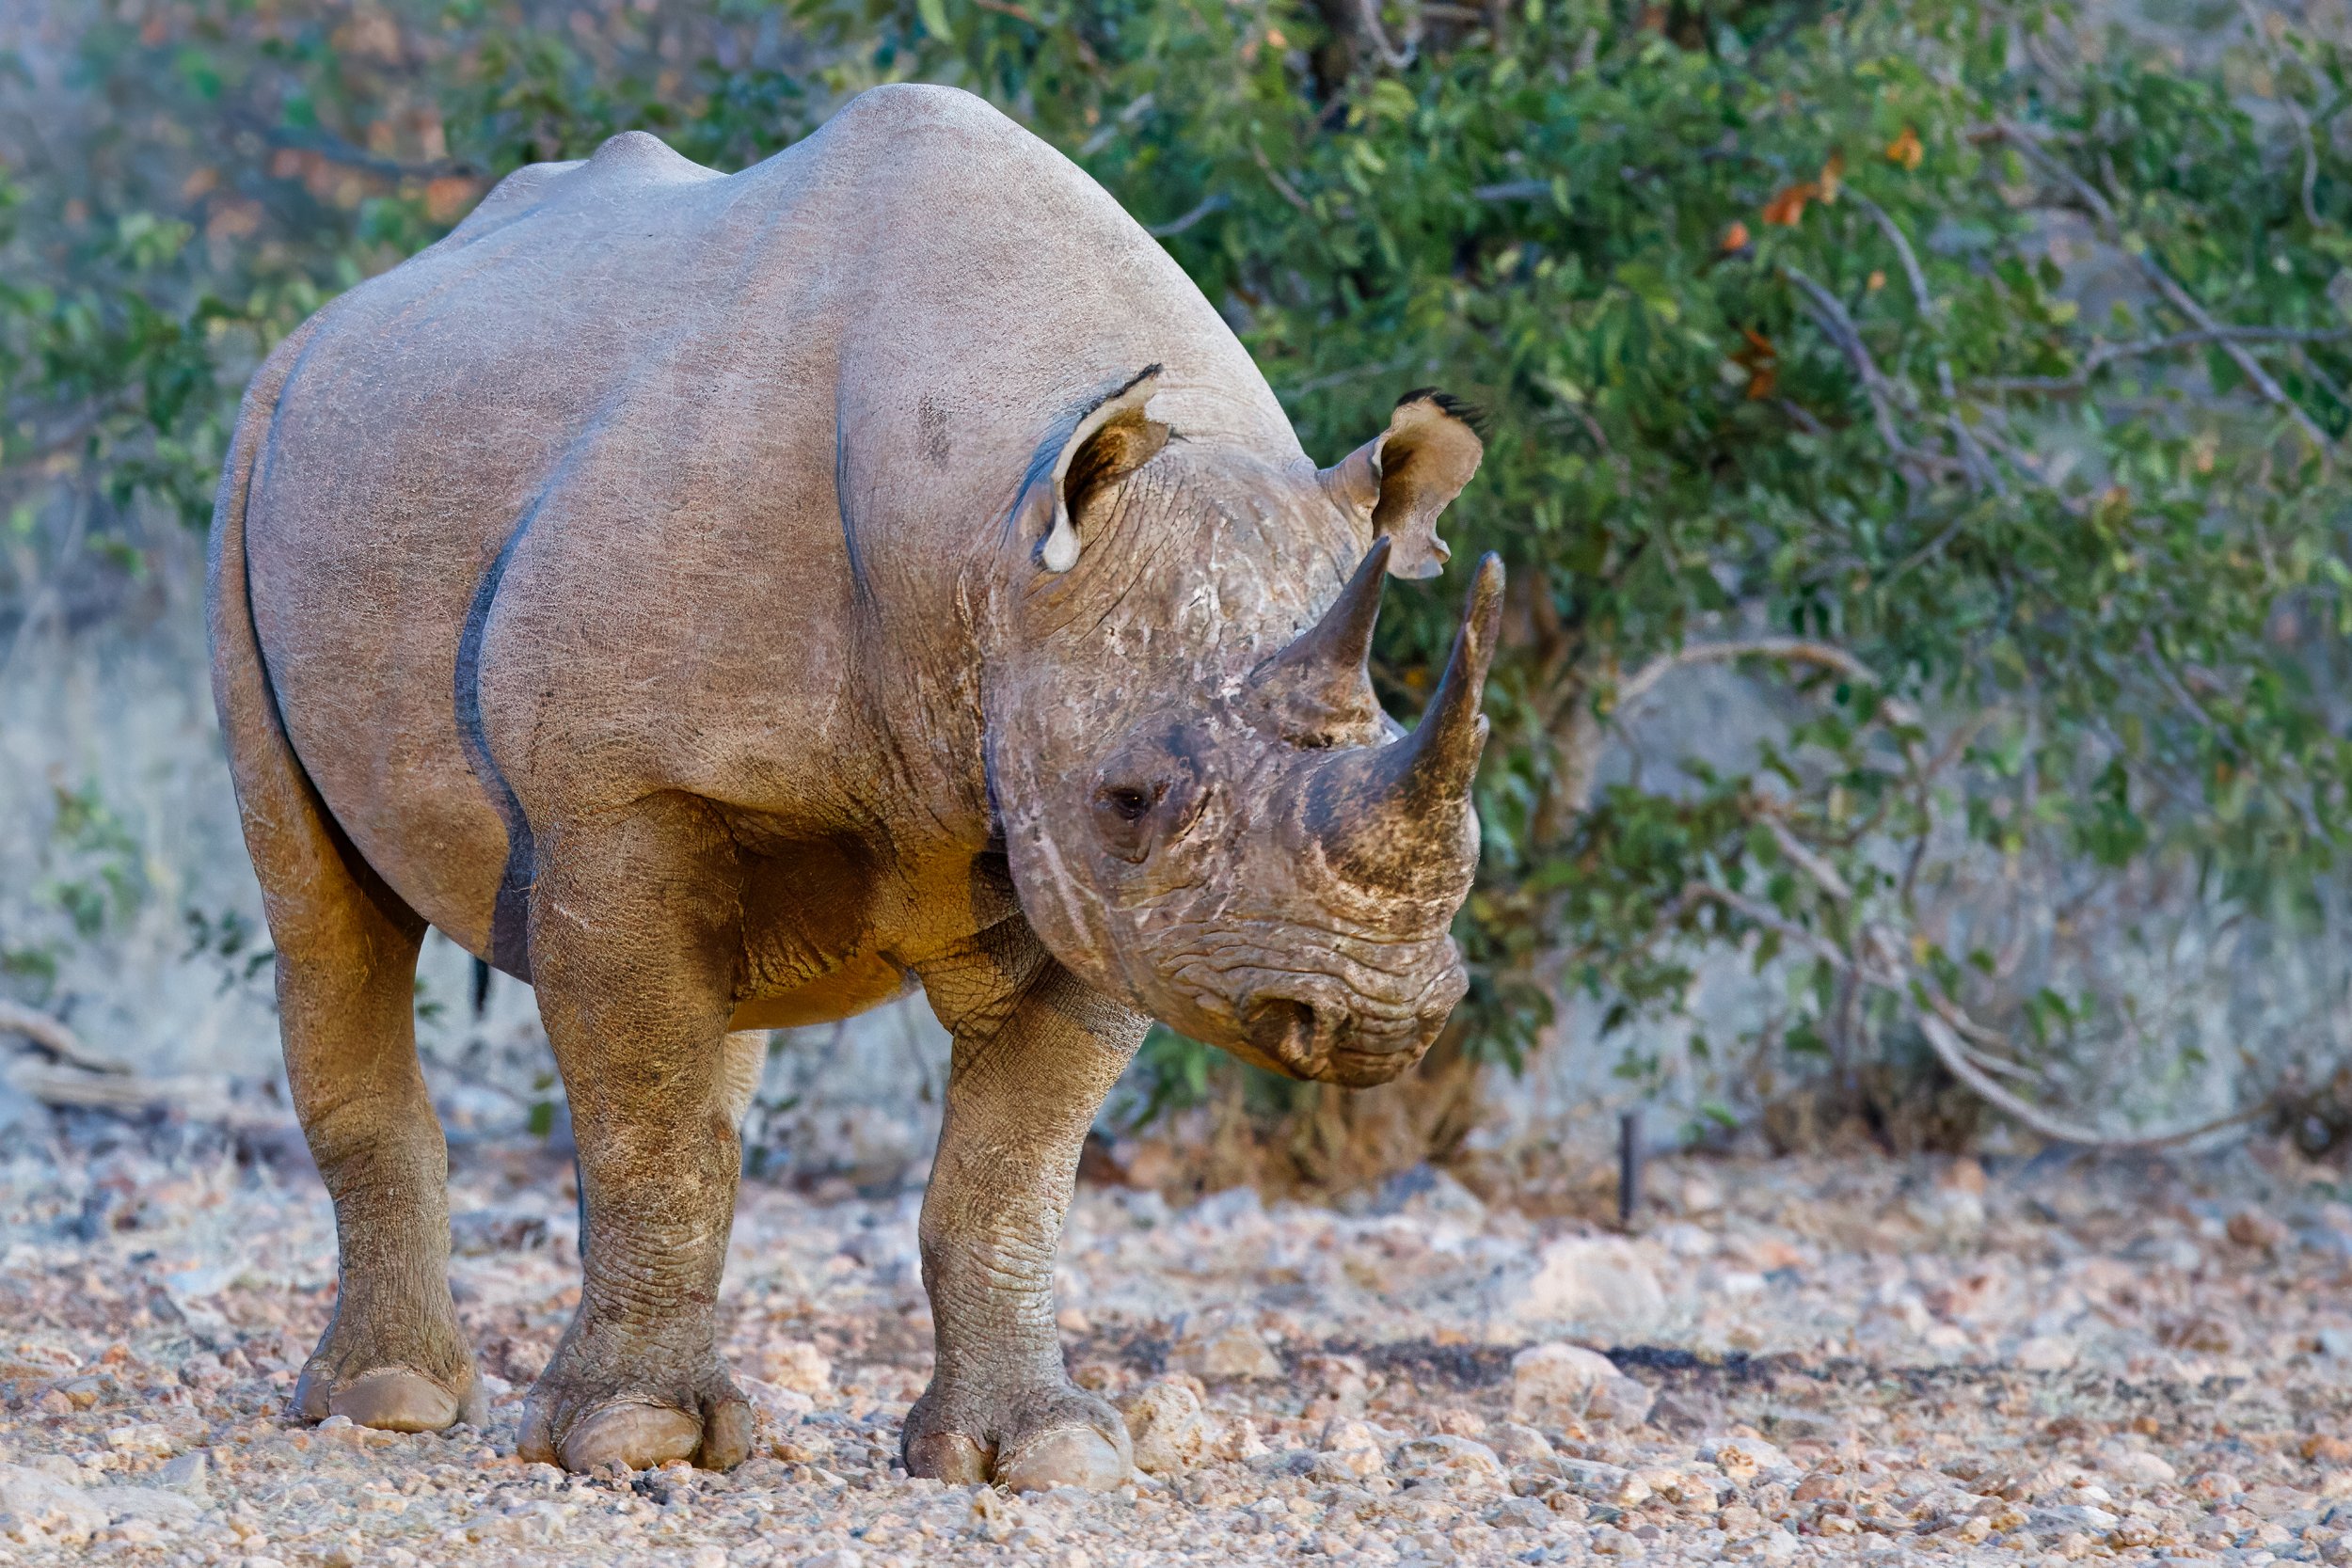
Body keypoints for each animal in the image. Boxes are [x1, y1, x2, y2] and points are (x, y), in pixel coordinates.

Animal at [208, 83, 1498, 1489]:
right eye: (1133, 796)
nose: (1368, 1017)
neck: (986, 536)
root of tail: (339, 315)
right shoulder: (624, 794)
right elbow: (652, 1133)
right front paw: (625, 1437)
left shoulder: (1099, 883)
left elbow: (1007, 1168)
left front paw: (1041, 1452)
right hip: (252, 457)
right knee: (329, 917)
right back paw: (386, 1403)